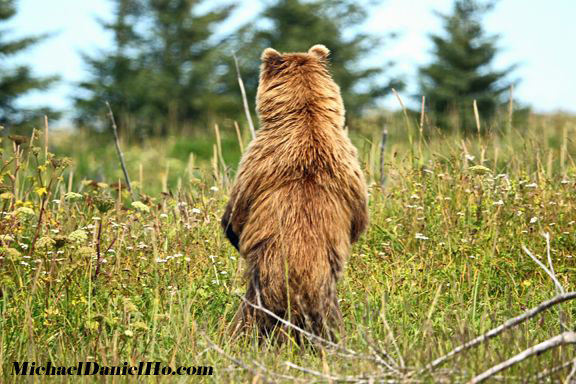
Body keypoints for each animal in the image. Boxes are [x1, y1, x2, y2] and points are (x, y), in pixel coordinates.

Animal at [222, 45, 368, 342]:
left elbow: (236, 214)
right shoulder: (351, 169)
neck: (305, 116)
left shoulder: (256, 163)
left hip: (261, 294)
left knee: (246, 321)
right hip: (326, 304)